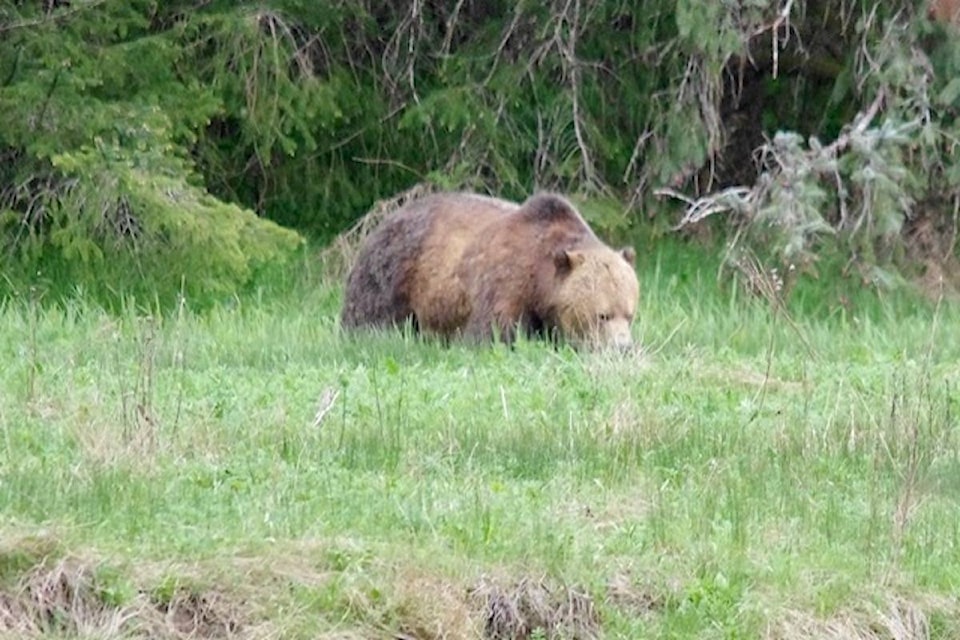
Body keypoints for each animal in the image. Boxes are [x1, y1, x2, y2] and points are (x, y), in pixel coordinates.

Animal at [342, 191, 640, 350]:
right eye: (602, 315)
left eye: (629, 314)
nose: (623, 348)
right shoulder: (506, 281)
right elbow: (492, 331)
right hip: (391, 273)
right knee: (371, 317)